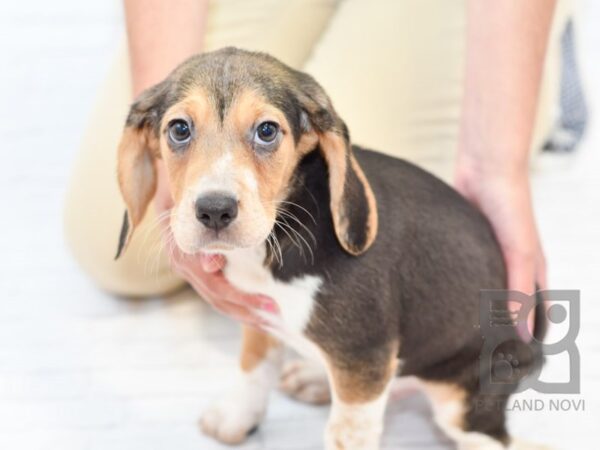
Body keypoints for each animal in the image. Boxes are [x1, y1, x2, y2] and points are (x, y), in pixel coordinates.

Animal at [115, 48, 548, 450]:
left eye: (267, 131)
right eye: (179, 129)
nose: (215, 210)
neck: (280, 232)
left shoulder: (365, 356)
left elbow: (347, 430)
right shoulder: (259, 315)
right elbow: (254, 368)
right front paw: (237, 417)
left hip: (460, 396)